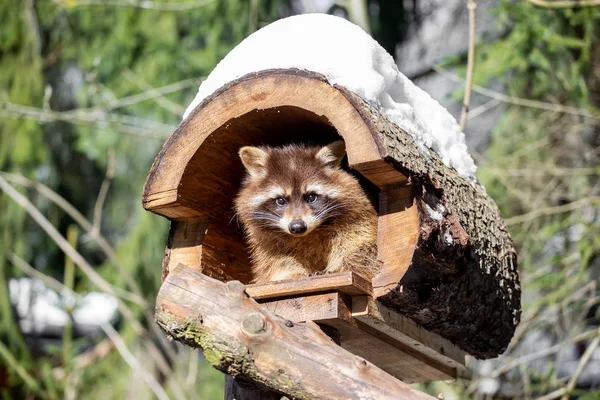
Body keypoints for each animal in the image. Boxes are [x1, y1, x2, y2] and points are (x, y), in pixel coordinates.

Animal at [236, 141, 380, 284]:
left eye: (311, 197)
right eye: (280, 200)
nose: (297, 227)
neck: (307, 235)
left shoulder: (356, 219)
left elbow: (359, 248)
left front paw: (340, 268)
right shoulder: (267, 241)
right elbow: (277, 260)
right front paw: (292, 273)